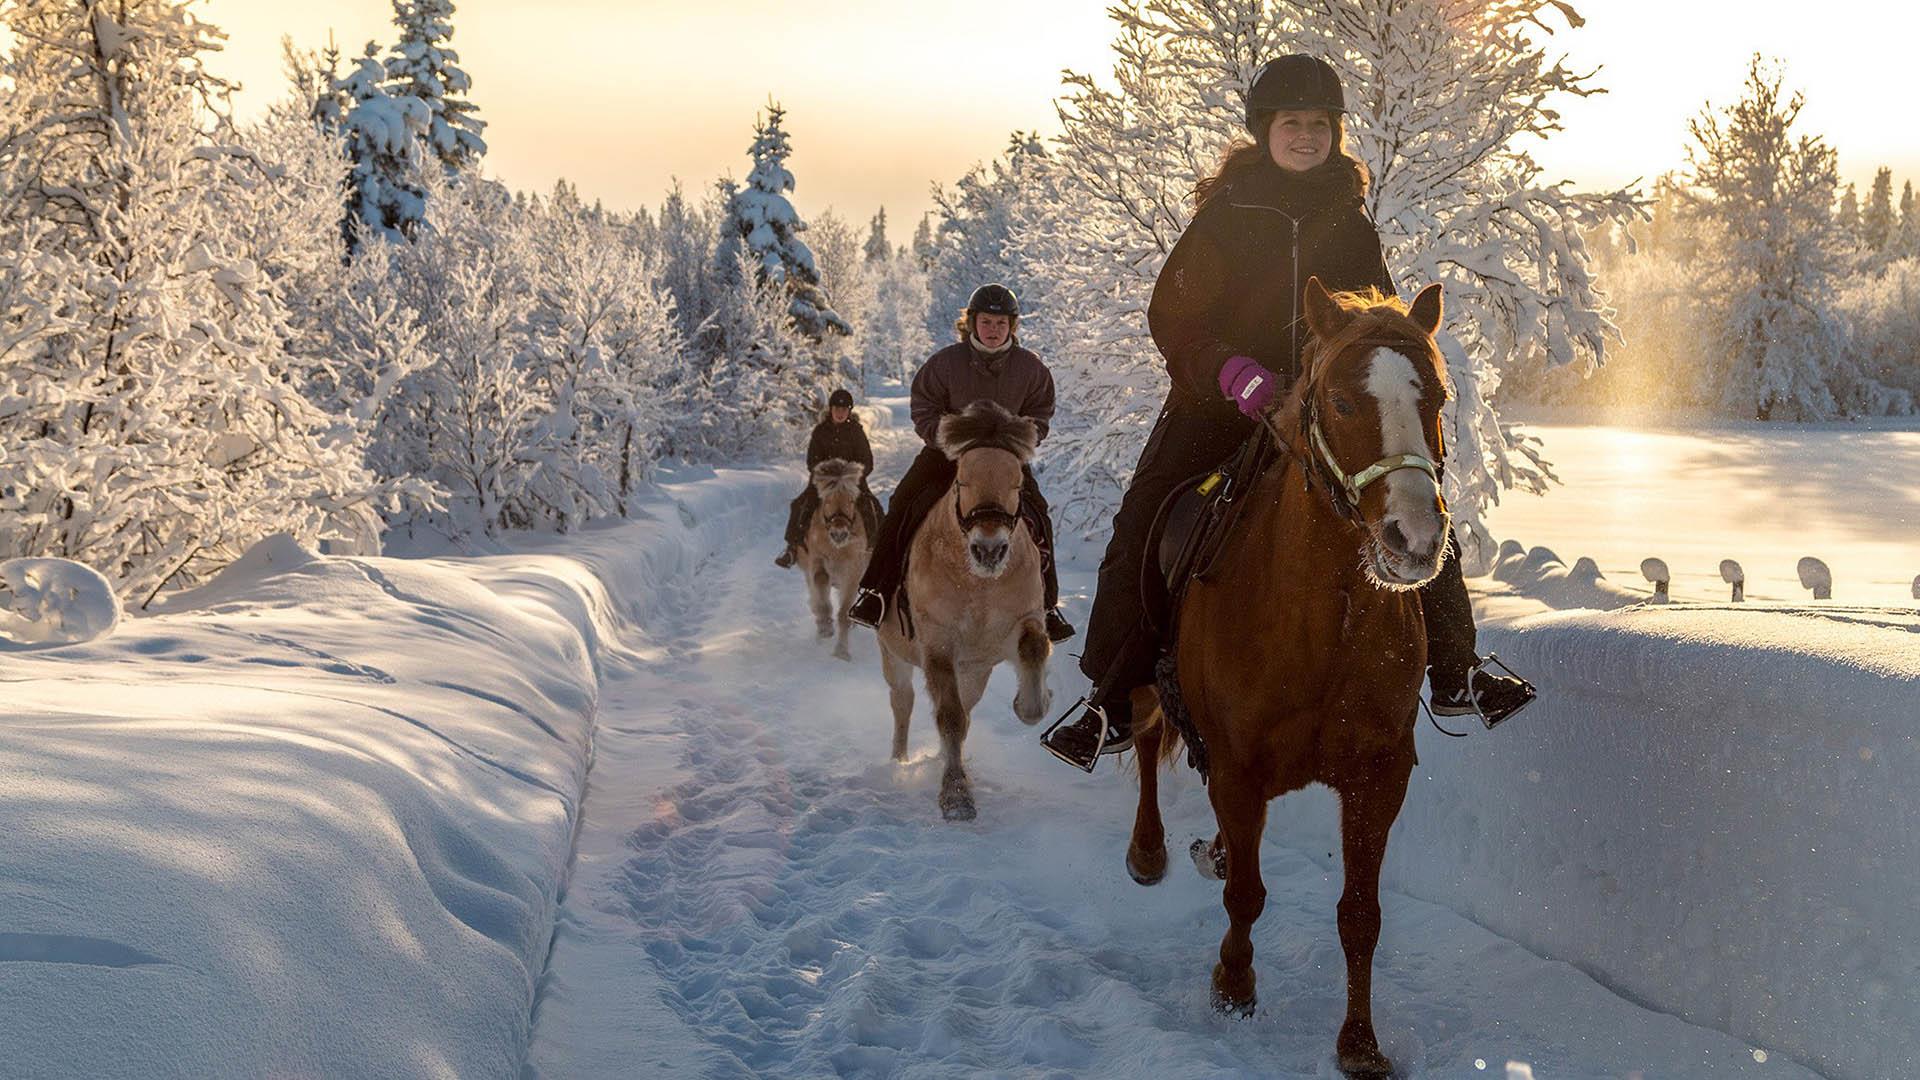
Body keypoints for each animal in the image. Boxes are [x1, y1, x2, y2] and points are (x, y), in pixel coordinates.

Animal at [794, 453, 871, 657]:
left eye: (851, 500)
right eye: (827, 500)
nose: (839, 533)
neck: (838, 547)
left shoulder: (852, 572)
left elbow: (844, 613)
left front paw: (841, 652)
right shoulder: (817, 560)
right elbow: (821, 582)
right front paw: (825, 626)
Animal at [879, 399, 1059, 818]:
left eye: (1017, 483)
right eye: (961, 479)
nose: (989, 550)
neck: (978, 585)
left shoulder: (1017, 625)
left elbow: (1034, 649)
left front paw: (1032, 702)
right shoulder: (938, 644)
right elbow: (948, 716)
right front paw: (956, 794)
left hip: (974, 671)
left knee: (967, 708)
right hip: (894, 656)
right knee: (904, 702)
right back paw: (899, 760)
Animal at [1121, 278, 1451, 1076]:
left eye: (1437, 399)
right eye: (1342, 401)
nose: (1415, 539)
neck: (1321, 625)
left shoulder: (1377, 775)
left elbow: (1360, 916)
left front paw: (1359, 1044)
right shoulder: (1240, 769)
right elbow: (1246, 894)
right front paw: (1233, 985)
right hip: (1143, 682)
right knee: (1144, 737)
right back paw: (1148, 850)